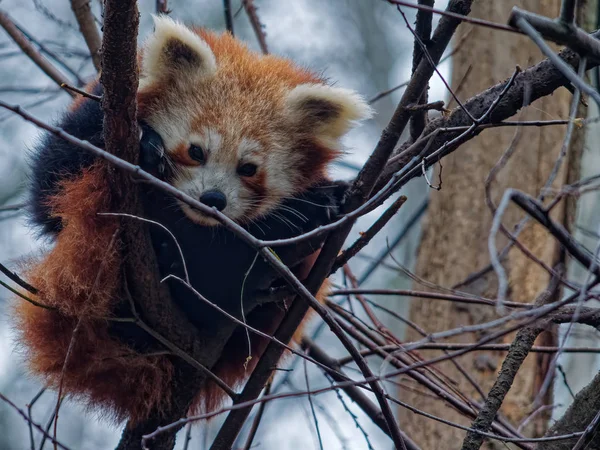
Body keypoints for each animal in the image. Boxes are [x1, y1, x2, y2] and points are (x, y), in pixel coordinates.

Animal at [12, 15, 370, 424]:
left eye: (248, 168)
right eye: (196, 151)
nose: (212, 199)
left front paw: (319, 202)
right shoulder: (98, 110)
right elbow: (51, 187)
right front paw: (145, 148)